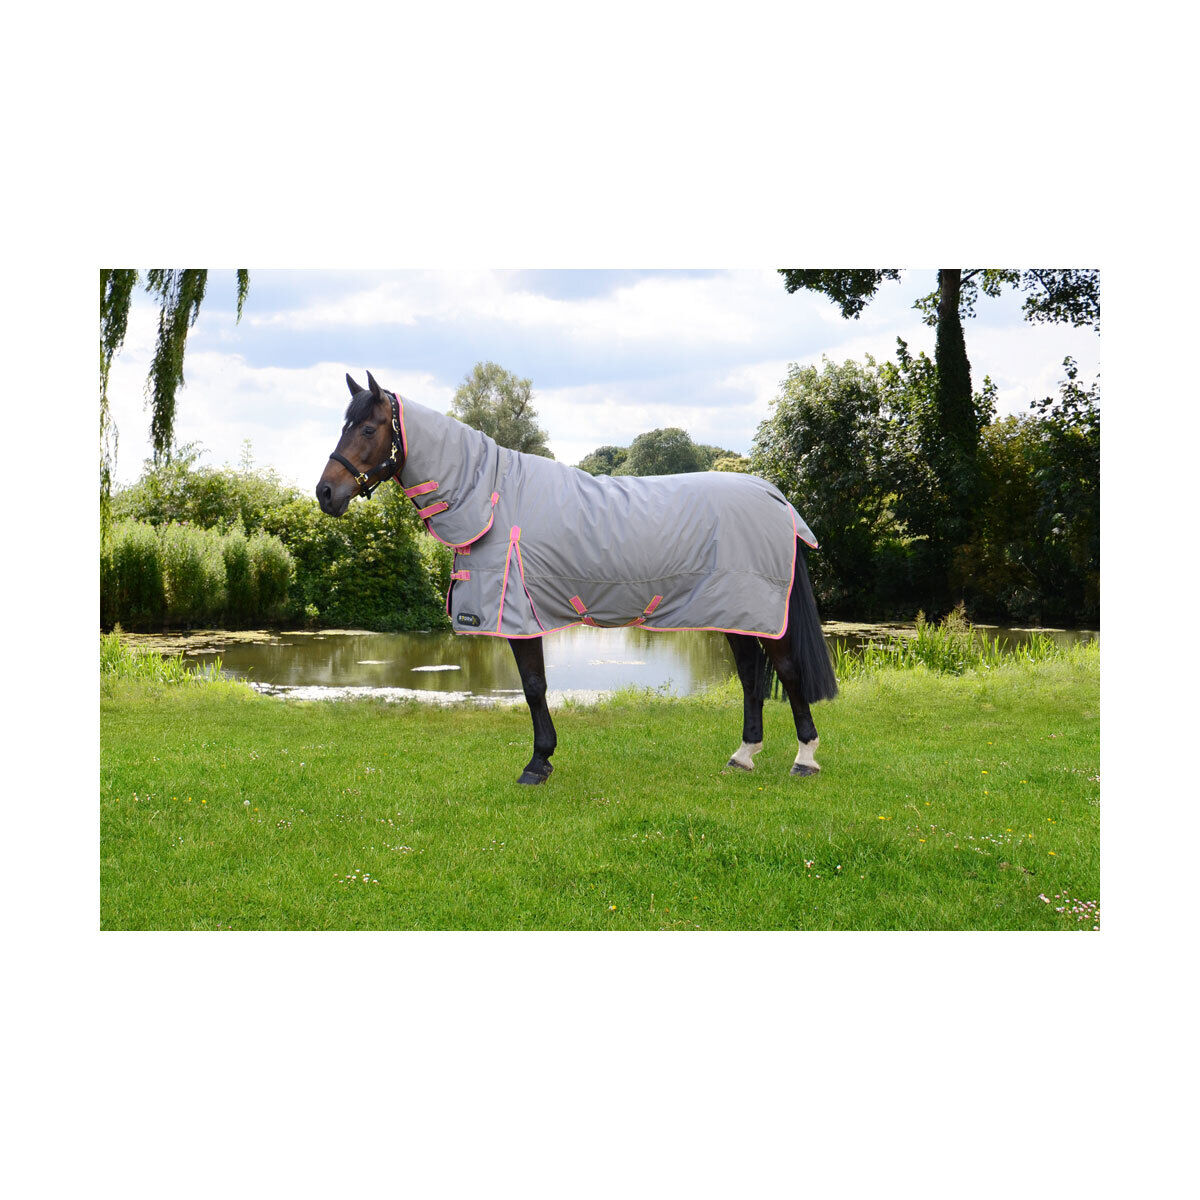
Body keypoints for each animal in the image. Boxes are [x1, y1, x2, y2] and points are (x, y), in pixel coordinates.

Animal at [316, 371, 838, 785]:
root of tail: (774, 495)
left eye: (367, 428)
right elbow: (535, 687)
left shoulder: (520, 617)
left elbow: (533, 687)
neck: (492, 497)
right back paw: (743, 755)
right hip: (735, 612)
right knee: (750, 676)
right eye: (343, 426)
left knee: (788, 672)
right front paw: (542, 759)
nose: (325, 492)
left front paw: (537, 763)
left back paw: (805, 758)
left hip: (763, 613)